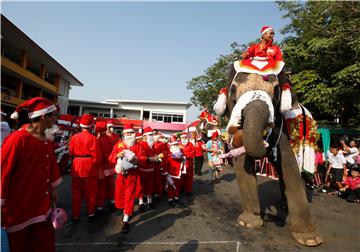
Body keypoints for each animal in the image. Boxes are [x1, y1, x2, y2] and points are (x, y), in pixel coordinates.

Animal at [218, 64, 324, 247]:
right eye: (233, 90)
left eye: (276, 91)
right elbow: (243, 165)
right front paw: (249, 222)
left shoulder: (282, 129)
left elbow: (288, 166)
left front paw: (310, 240)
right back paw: (282, 207)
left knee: (299, 172)